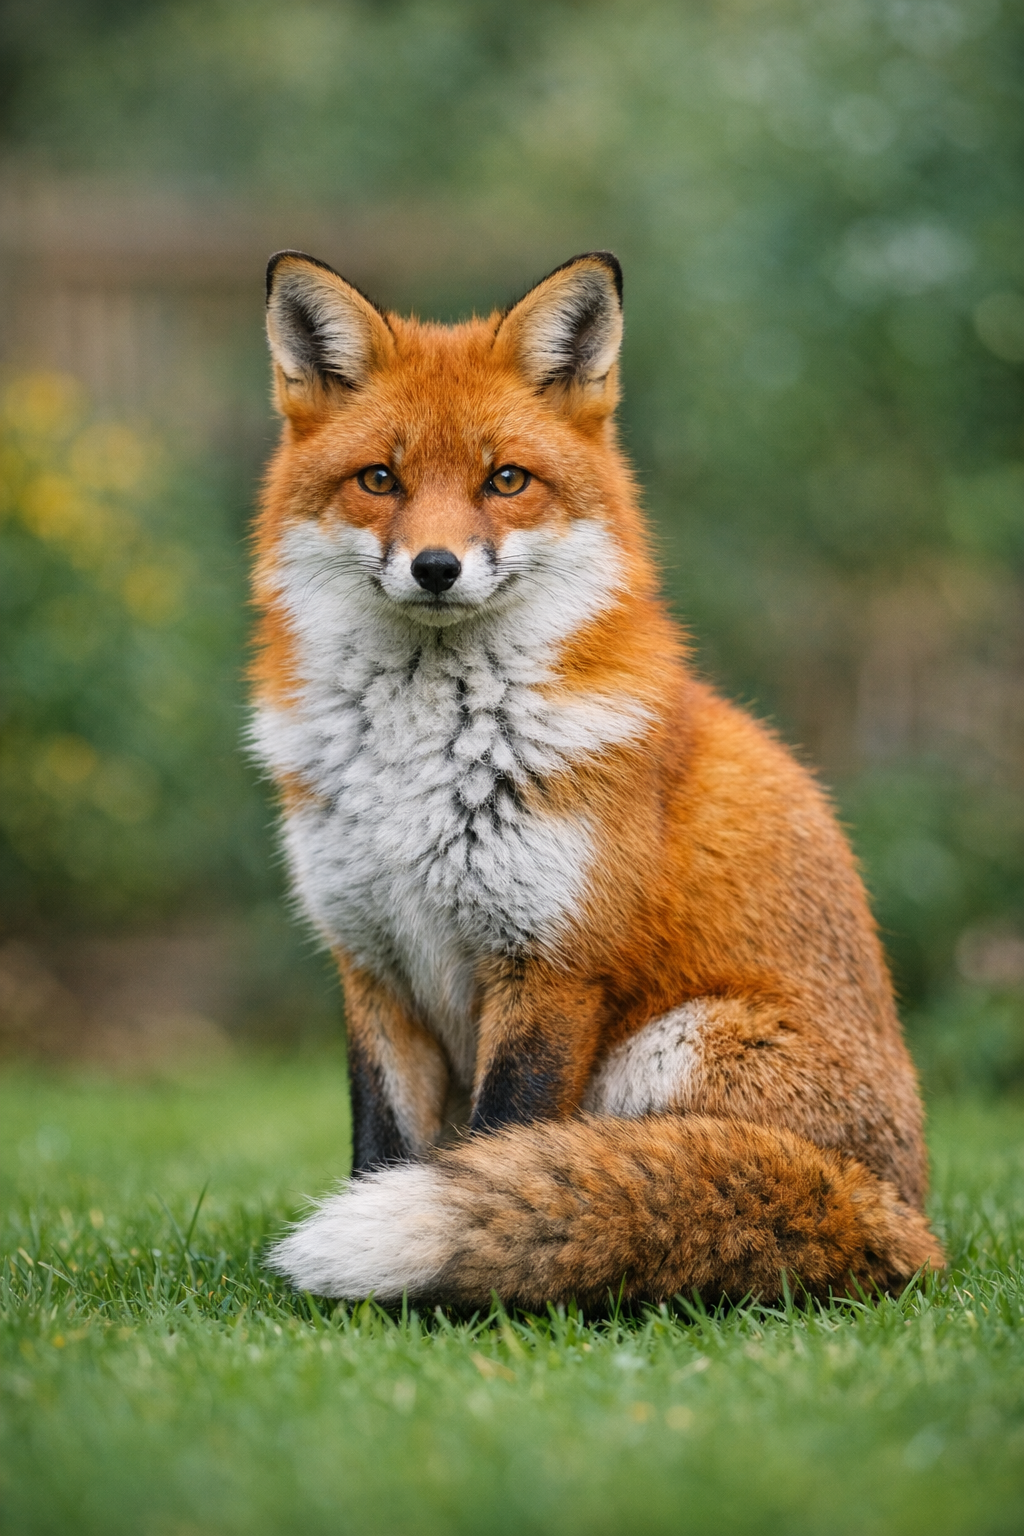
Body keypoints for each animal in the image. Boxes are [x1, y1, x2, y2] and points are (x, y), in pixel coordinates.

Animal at [251, 248, 944, 1310]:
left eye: (505, 480)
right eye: (380, 479)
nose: (437, 566)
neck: (420, 763)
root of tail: (901, 1215)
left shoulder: (553, 964)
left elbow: (501, 1148)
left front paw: (461, 1300)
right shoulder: (372, 967)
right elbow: (383, 1153)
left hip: (674, 1046)